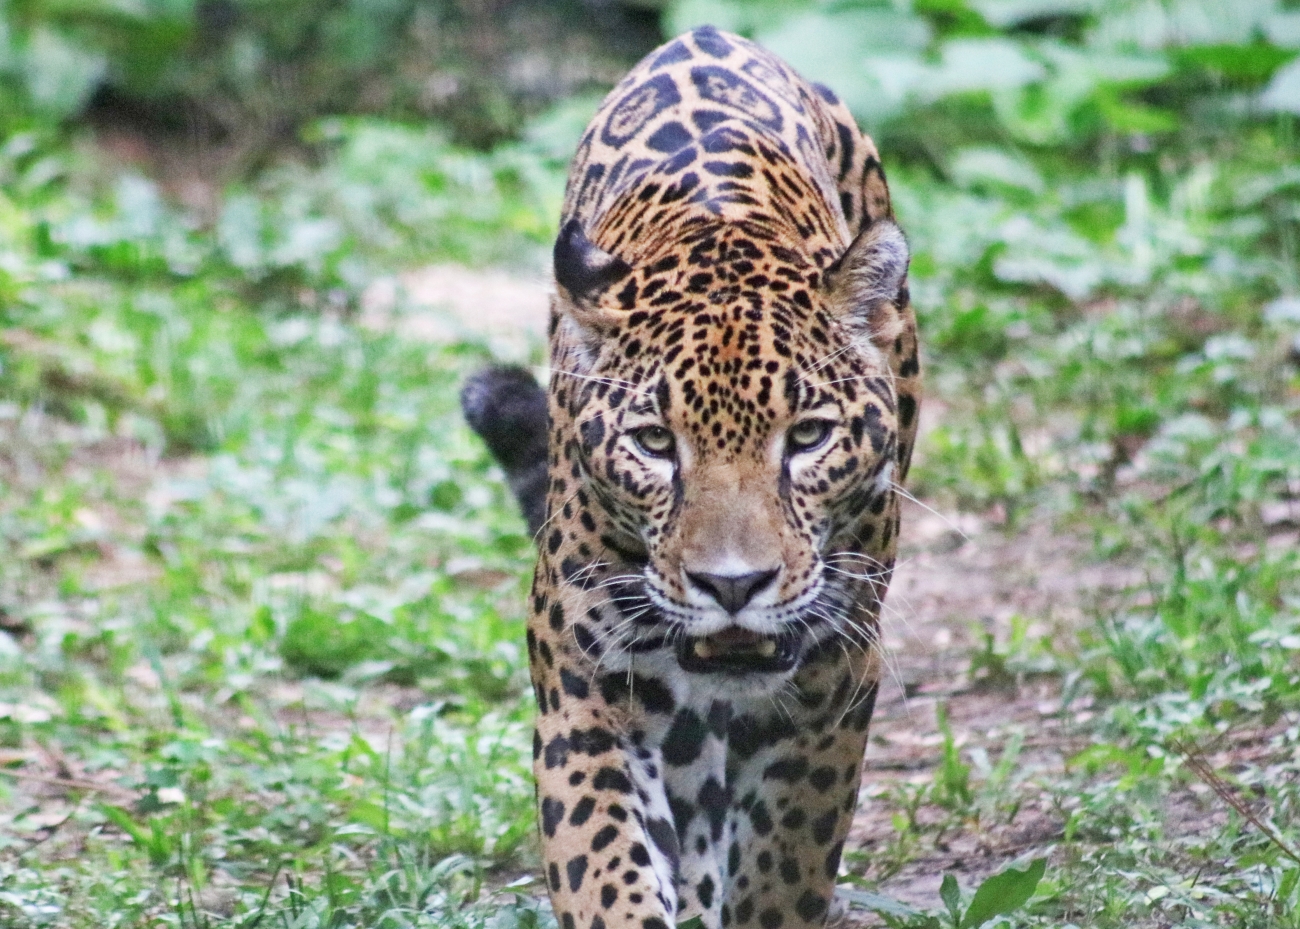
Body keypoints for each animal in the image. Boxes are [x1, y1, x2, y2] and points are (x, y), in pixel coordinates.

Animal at [461, 25, 921, 929]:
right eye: (653, 442)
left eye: (807, 437)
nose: (732, 584)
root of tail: (708, 33)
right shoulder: (583, 690)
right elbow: (604, 867)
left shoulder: (835, 682)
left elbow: (785, 864)